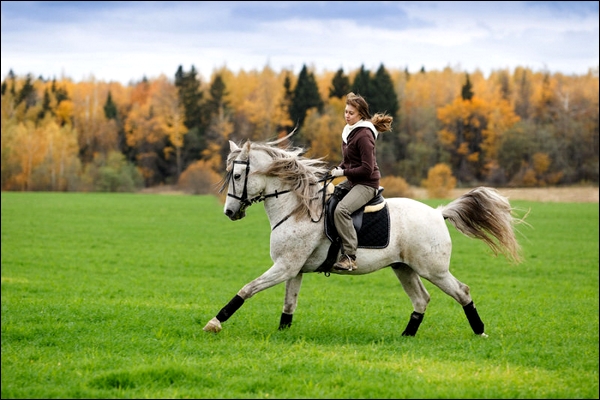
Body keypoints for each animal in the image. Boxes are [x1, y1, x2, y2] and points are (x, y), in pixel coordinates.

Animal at [204, 138, 524, 338]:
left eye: (236, 176)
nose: (230, 212)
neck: (298, 209)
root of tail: (438, 212)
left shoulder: (284, 267)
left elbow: (247, 289)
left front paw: (215, 322)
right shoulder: (294, 269)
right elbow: (288, 305)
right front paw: (282, 333)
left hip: (433, 269)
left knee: (463, 292)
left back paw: (480, 331)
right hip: (404, 268)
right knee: (422, 300)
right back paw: (406, 336)